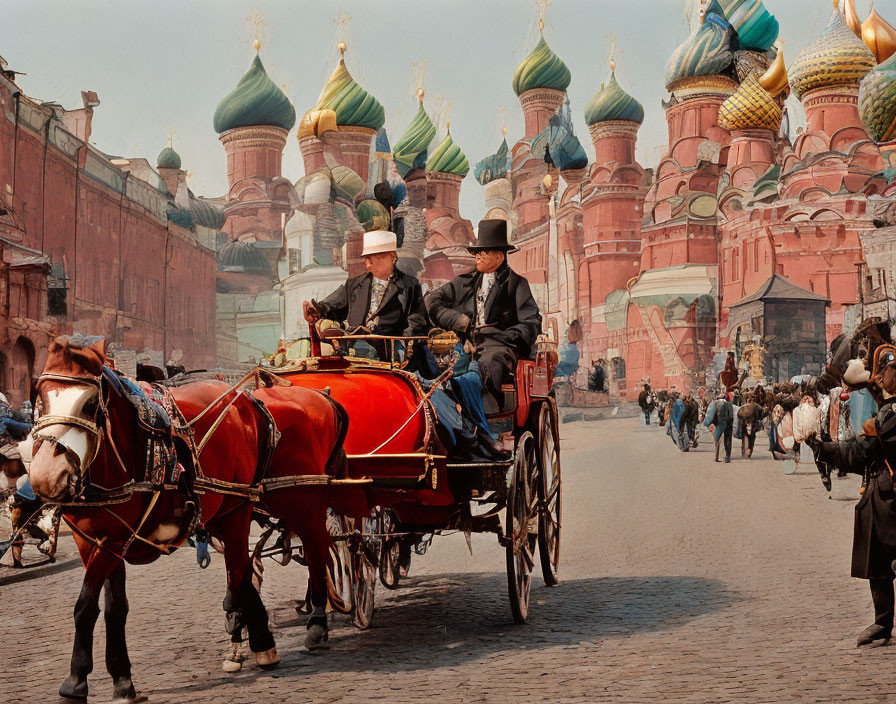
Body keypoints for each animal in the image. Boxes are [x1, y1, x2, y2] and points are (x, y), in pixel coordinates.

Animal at [27, 338, 344, 700]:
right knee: (242, 572)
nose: (45, 476)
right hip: (229, 509)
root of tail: (249, 399)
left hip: (290, 501)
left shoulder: (113, 541)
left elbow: (85, 605)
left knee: (309, 553)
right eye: (40, 396)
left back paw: (310, 624)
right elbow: (113, 608)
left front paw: (76, 680)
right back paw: (253, 633)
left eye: (91, 403)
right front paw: (121, 678)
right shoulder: (93, 541)